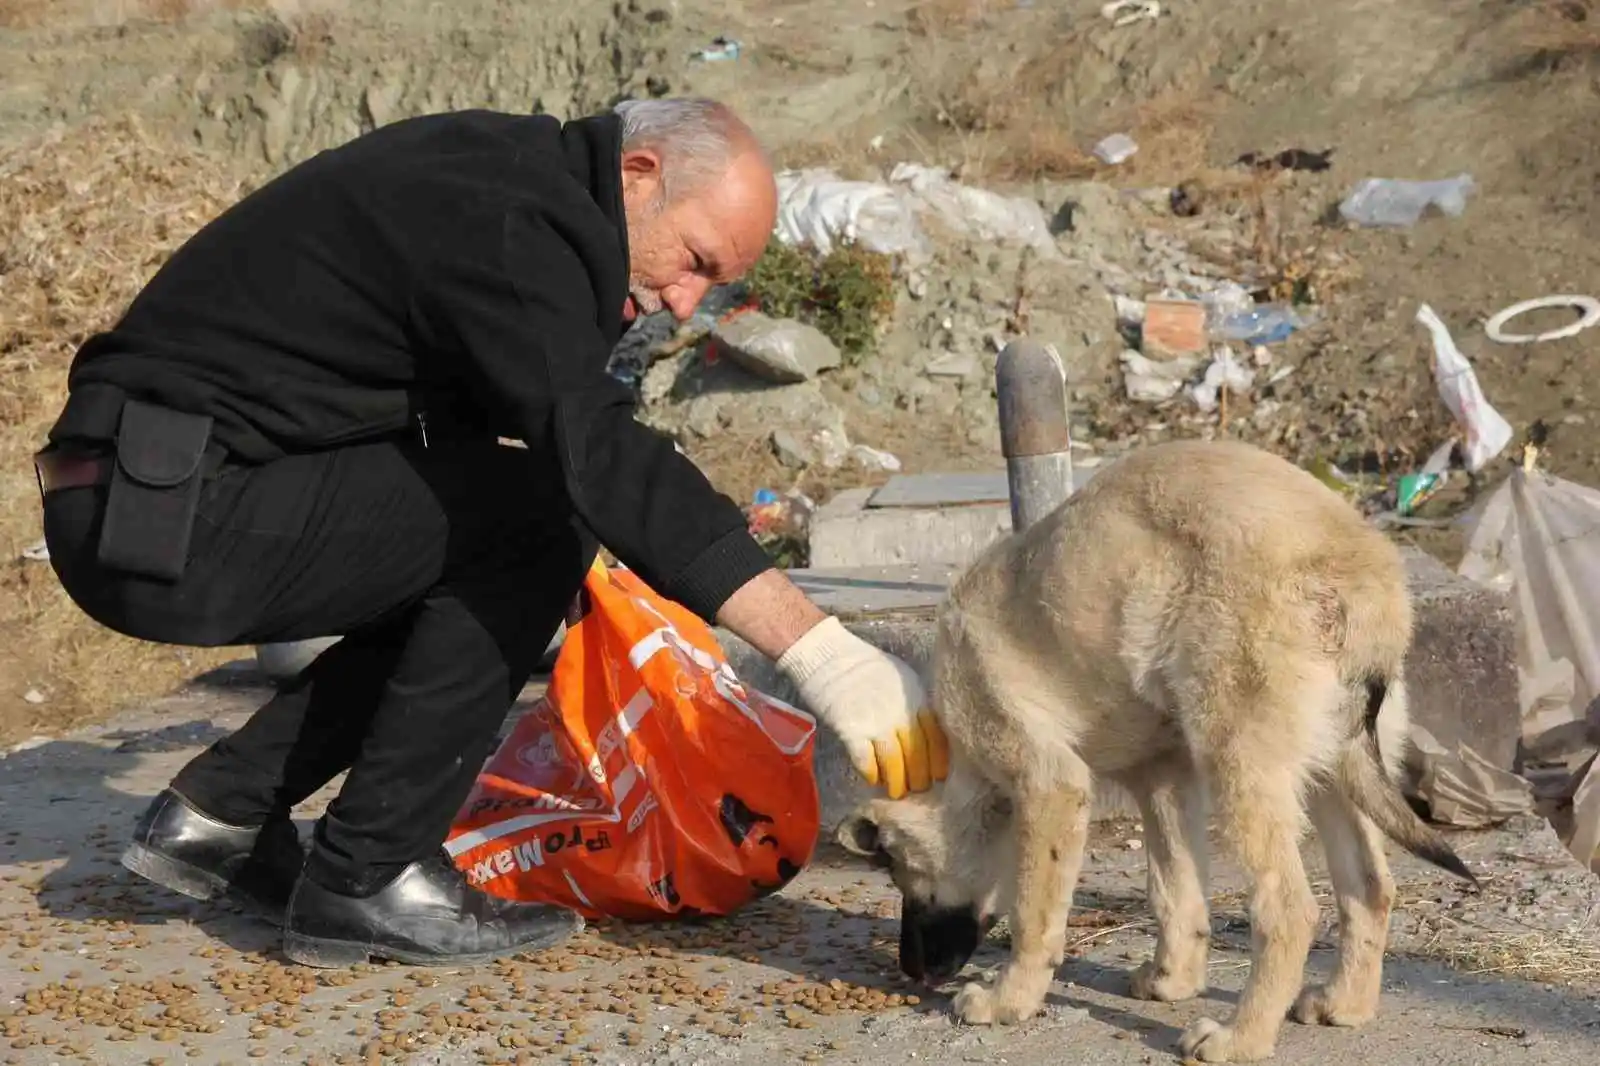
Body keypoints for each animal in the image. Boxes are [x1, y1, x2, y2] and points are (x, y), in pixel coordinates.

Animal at [838, 438, 1472, 1056]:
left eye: (897, 872)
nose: (911, 970)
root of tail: (1365, 575)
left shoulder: (1051, 786)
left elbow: (1034, 915)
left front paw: (1007, 1000)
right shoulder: (1163, 778)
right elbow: (1174, 891)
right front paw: (1173, 980)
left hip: (1240, 764)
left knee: (1288, 909)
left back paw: (1241, 1038)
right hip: (1333, 765)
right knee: (1369, 888)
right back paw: (1346, 1004)